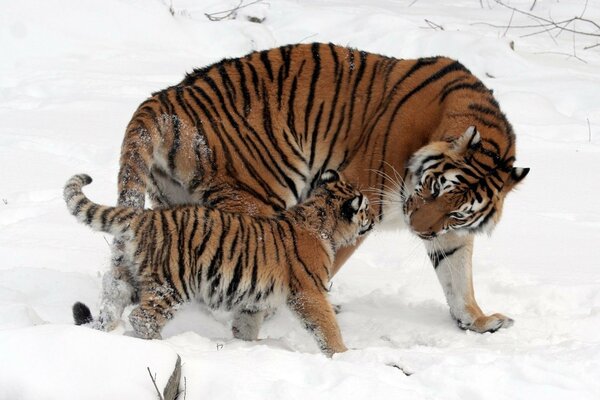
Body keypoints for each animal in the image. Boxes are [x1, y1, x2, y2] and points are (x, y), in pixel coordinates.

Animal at [83, 43, 524, 338]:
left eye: (458, 211)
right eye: (433, 187)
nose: (419, 230)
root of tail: (164, 98)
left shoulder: (450, 233)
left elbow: (457, 275)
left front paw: (478, 321)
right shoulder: (358, 197)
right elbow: (325, 259)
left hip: (173, 203)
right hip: (258, 194)